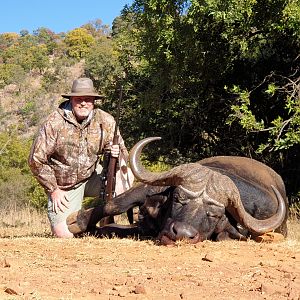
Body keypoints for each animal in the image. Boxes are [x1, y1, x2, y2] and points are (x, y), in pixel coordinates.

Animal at [67, 137, 288, 245]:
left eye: (215, 215)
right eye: (178, 199)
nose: (181, 233)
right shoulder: (148, 189)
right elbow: (116, 204)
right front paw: (77, 222)